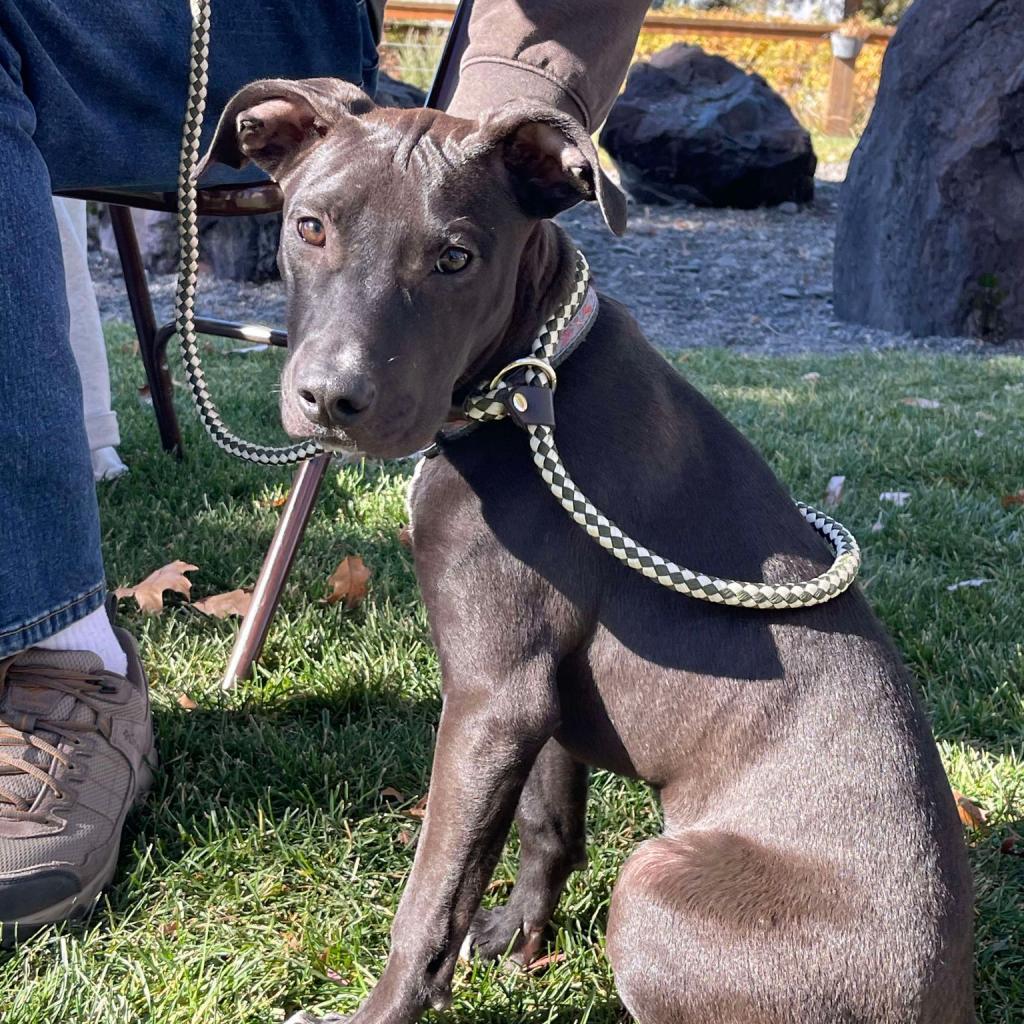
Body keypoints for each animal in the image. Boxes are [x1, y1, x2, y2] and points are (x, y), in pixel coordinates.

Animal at [199, 81, 974, 1024]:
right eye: (309, 226)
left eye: (455, 257)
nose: (332, 400)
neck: (533, 379)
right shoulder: (544, 690)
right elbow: (548, 828)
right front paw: (519, 939)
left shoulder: (492, 695)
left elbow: (431, 894)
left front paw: (382, 1010)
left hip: (654, 885)